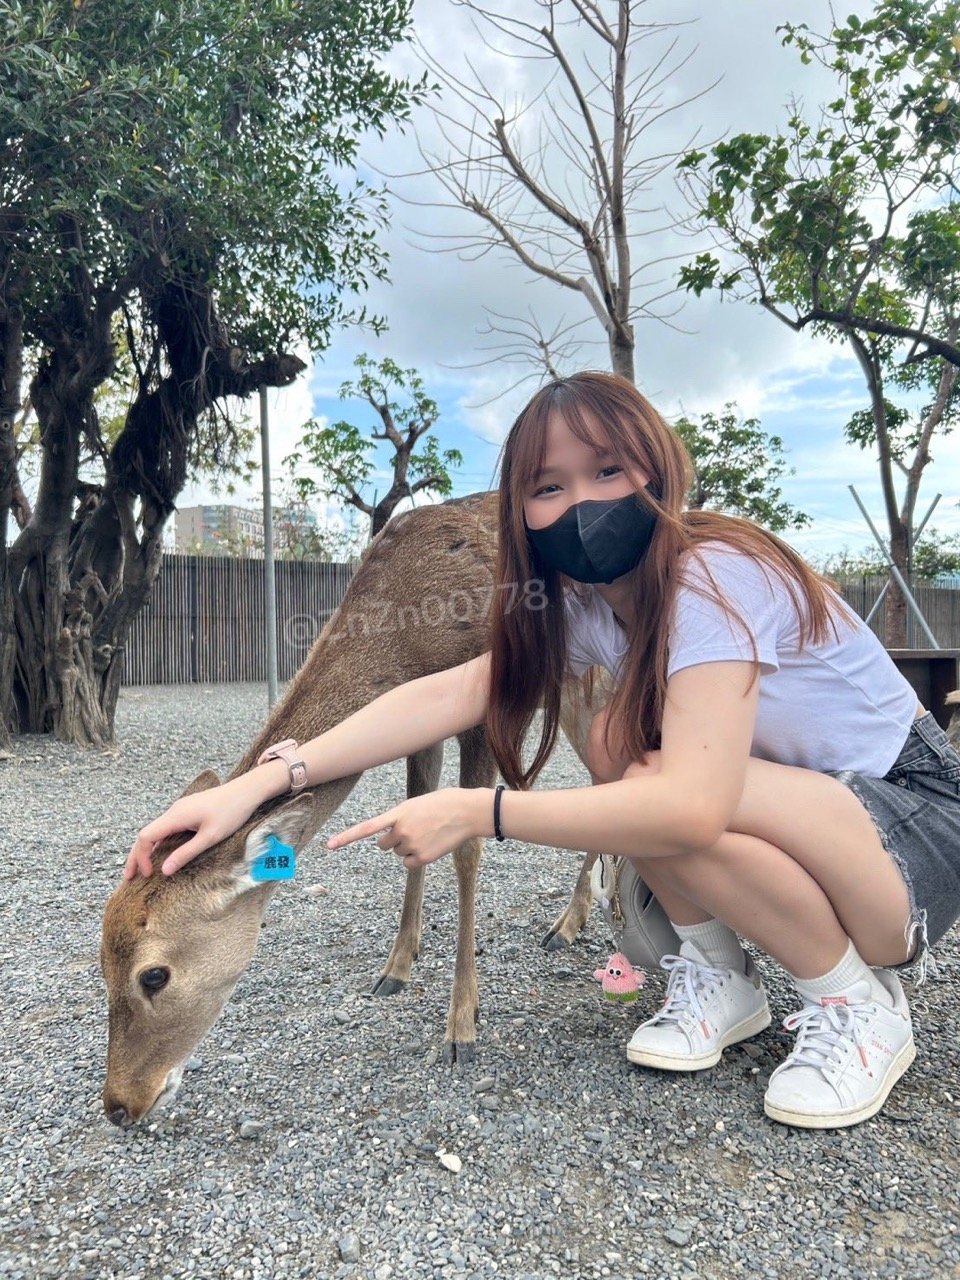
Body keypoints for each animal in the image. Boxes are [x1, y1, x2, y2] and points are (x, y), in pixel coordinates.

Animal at [100, 491, 612, 1128]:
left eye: (154, 974)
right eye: (99, 961)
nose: (118, 1104)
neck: (411, 635)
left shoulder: (482, 709)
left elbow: (467, 850)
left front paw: (462, 1025)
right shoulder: (423, 722)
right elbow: (414, 817)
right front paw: (396, 968)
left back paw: (570, 924)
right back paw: (587, 912)